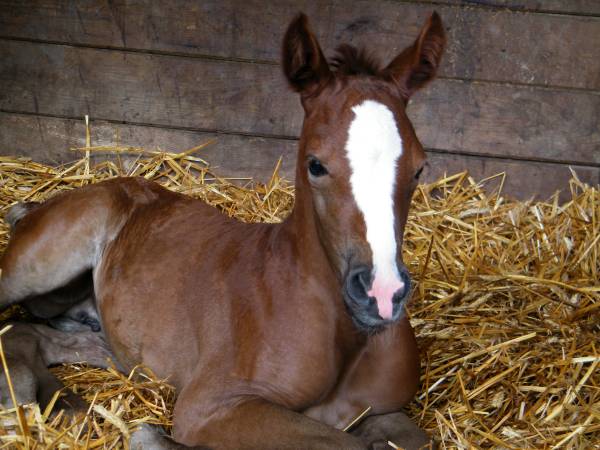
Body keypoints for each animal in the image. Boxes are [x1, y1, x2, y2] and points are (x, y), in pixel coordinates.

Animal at [0, 12, 442, 448]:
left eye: (420, 167)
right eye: (315, 165)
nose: (381, 294)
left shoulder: (380, 410)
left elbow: (409, 439)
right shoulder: (212, 405)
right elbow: (344, 443)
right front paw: (151, 437)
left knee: (40, 334)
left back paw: (64, 402)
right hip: (42, 265)